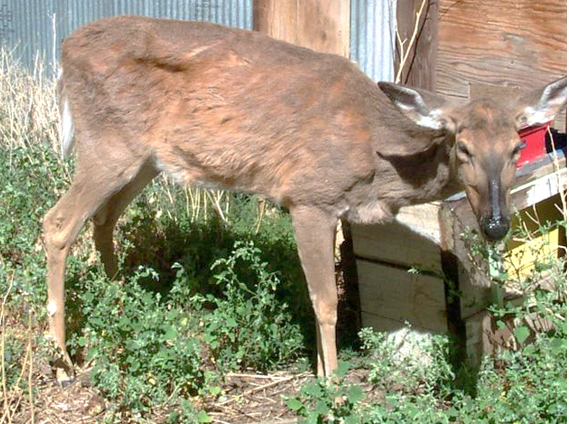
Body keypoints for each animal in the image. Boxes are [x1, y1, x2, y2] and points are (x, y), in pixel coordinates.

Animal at [42, 14, 564, 382]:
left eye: (516, 147)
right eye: (463, 146)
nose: (496, 224)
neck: (376, 159)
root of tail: (64, 50)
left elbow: (316, 299)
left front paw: (319, 371)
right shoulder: (310, 196)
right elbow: (325, 301)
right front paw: (333, 387)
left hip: (145, 159)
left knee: (103, 220)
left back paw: (121, 301)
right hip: (108, 144)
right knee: (57, 224)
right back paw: (65, 362)